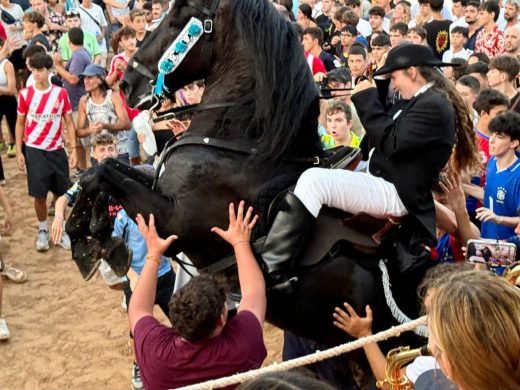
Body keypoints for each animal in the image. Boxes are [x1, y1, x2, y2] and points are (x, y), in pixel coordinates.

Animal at [65, 0, 426, 384]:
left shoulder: (174, 222)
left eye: (177, 19)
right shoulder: (157, 190)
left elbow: (102, 173)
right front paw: (94, 237)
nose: (126, 83)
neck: (242, 147)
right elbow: (100, 171)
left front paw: (88, 242)